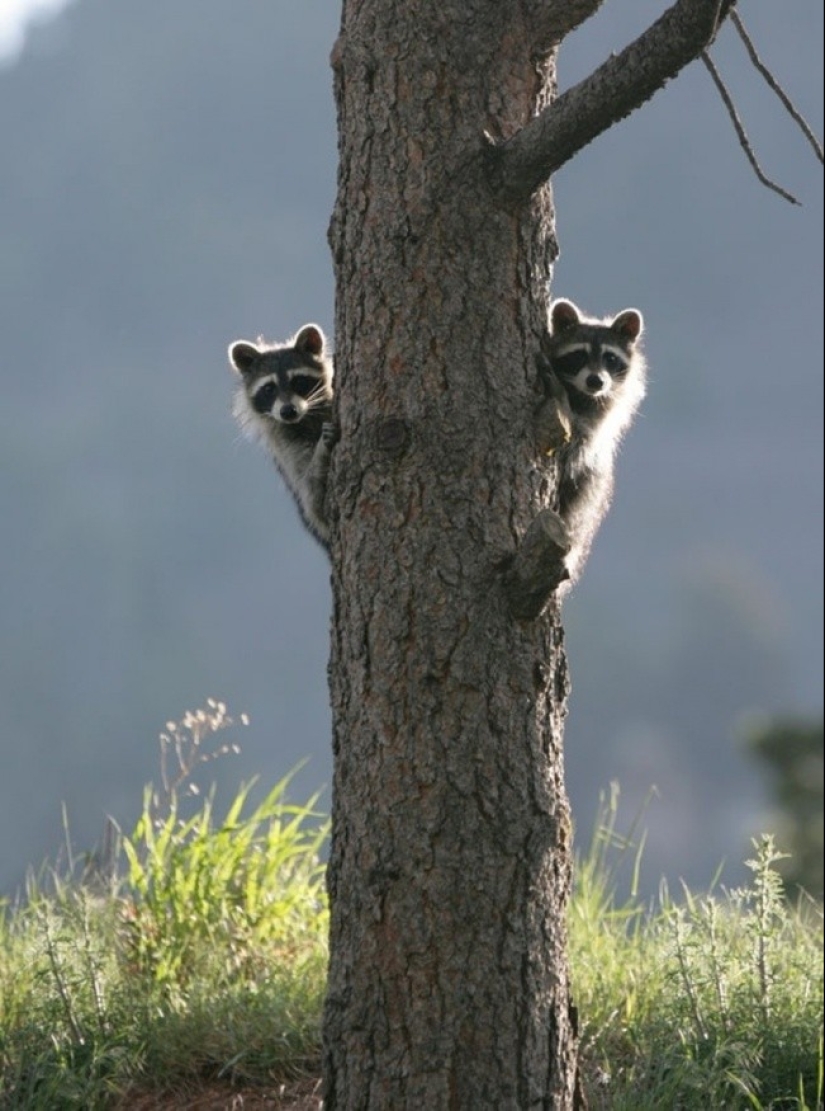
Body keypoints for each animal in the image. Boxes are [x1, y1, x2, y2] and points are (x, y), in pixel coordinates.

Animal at [228, 322, 335, 546]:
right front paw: (321, 451)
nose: (288, 411)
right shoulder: (286, 447)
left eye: (299, 381)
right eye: (269, 388)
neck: (305, 418)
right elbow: (312, 500)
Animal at [539, 295, 648, 591]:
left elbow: (577, 442)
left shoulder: (598, 419)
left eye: (610, 358)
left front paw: (563, 403)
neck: (581, 394)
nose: (595, 380)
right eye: (579, 355)